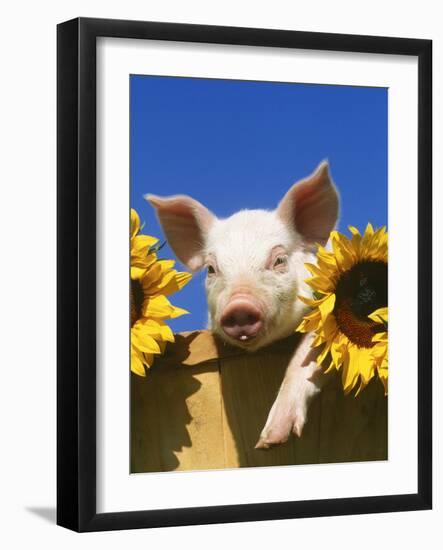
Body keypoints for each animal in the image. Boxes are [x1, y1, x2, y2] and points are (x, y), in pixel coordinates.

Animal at [147, 162, 340, 450]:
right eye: (211, 269)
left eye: (279, 260)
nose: (239, 306)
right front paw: (266, 443)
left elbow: (310, 349)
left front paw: (268, 441)